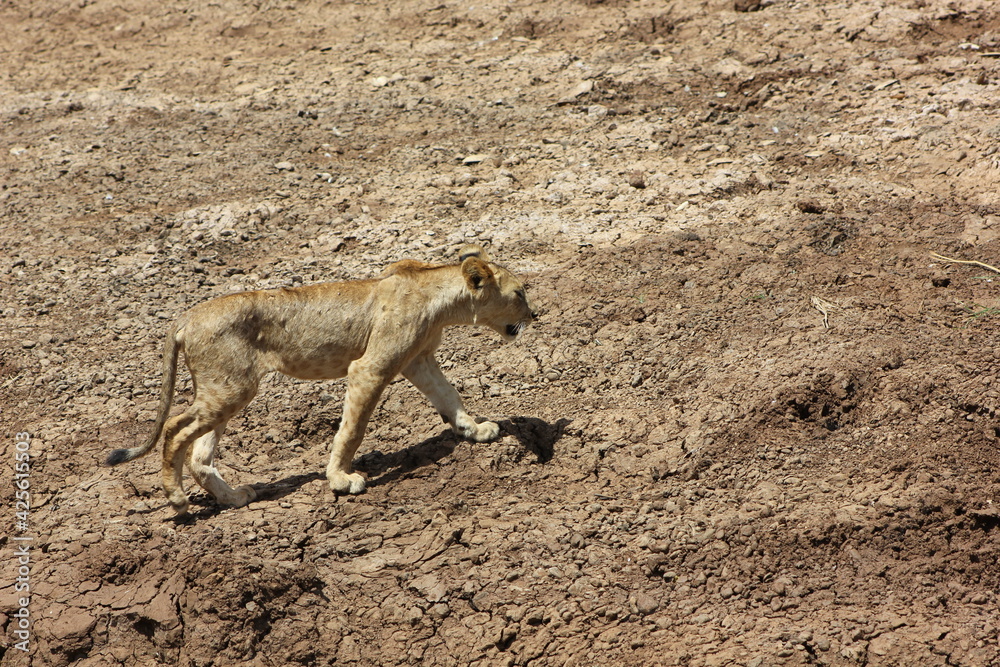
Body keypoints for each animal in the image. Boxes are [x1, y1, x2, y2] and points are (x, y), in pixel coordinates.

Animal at [105, 244, 537, 515]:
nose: (535, 315)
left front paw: (475, 430)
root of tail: (186, 316)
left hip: (225, 389)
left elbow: (450, 398)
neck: (441, 297)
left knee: (199, 454)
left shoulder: (418, 361)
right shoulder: (371, 368)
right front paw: (341, 479)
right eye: (519, 293)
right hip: (231, 387)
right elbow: (352, 430)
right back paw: (177, 501)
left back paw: (234, 498)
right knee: (174, 430)